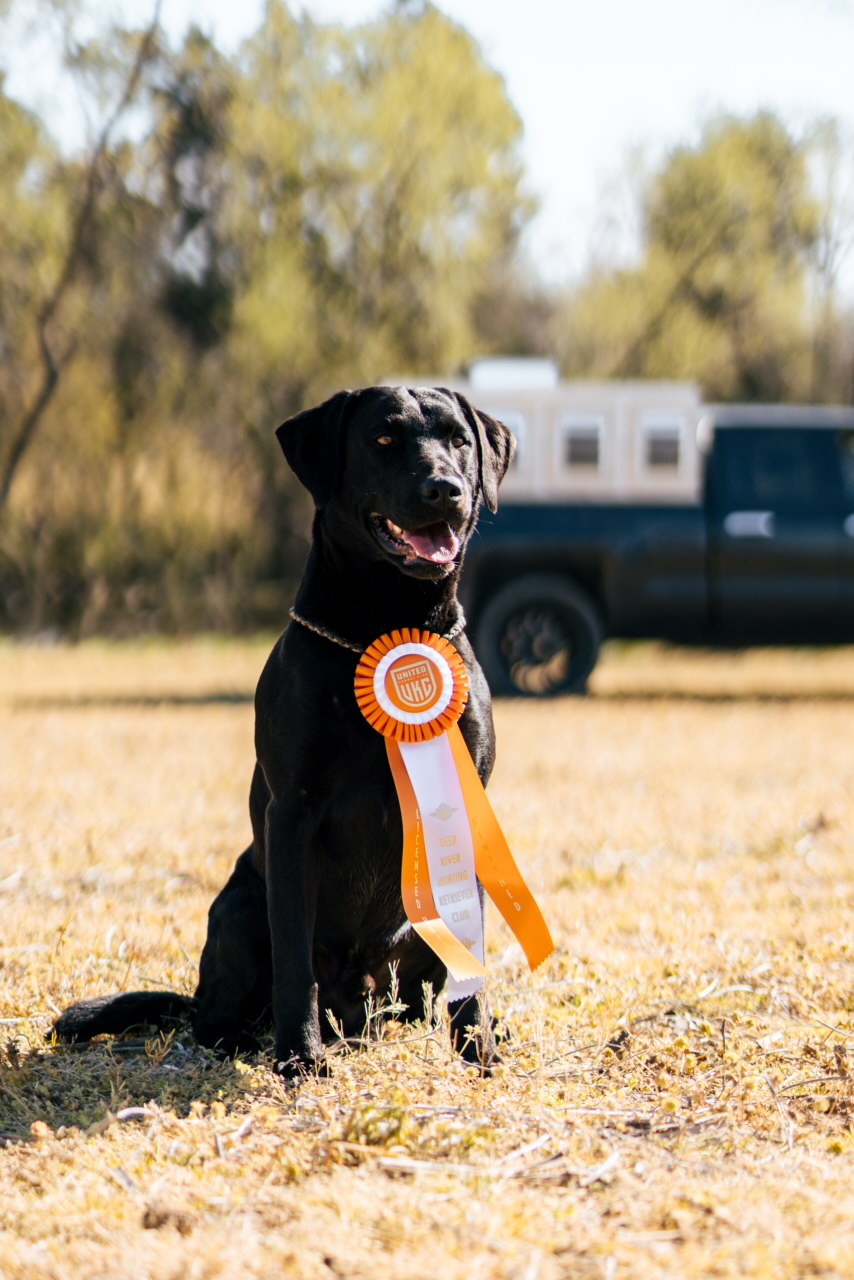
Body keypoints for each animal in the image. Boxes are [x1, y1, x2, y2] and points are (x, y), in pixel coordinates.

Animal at [53, 386, 515, 1073]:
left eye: (460, 440)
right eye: (384, 439)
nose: (446, 489)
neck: (383, 629)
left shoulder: (464, 805)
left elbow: (472, 958)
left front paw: (477, 1049)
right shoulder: (294, 812)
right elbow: (295, 958)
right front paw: (299, 1058)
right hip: (241, 907)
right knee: (216, 1017)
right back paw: (257, 1039)